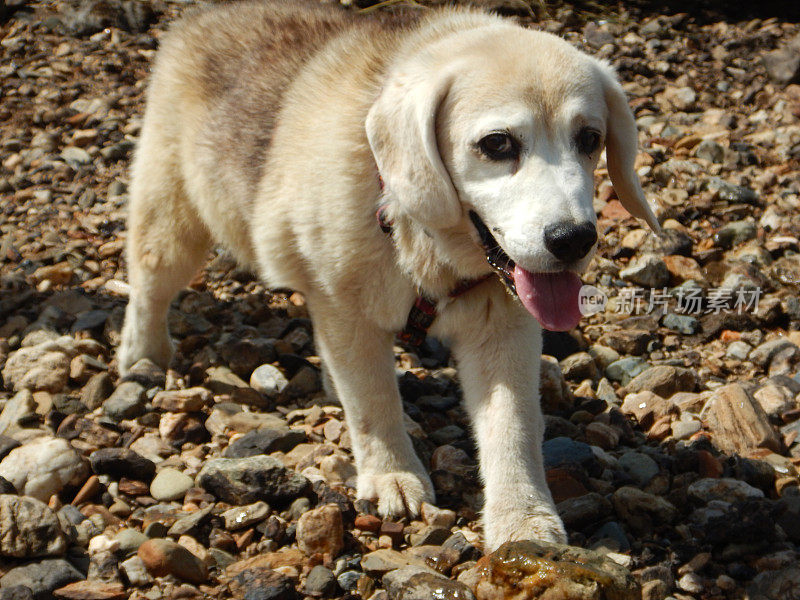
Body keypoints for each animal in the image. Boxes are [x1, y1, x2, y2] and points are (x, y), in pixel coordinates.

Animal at [119, 0, 656, 552]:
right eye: (498, 143)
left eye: (590, 139)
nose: (573, 240)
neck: (419, 233)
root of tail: (202, 16)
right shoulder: (346, 312)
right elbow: (373, 402)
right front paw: (392, 474)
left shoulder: (503, 329)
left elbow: (513, 427)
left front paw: (522, 520)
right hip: (172, 223)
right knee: (147, 286)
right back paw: (142, 357)